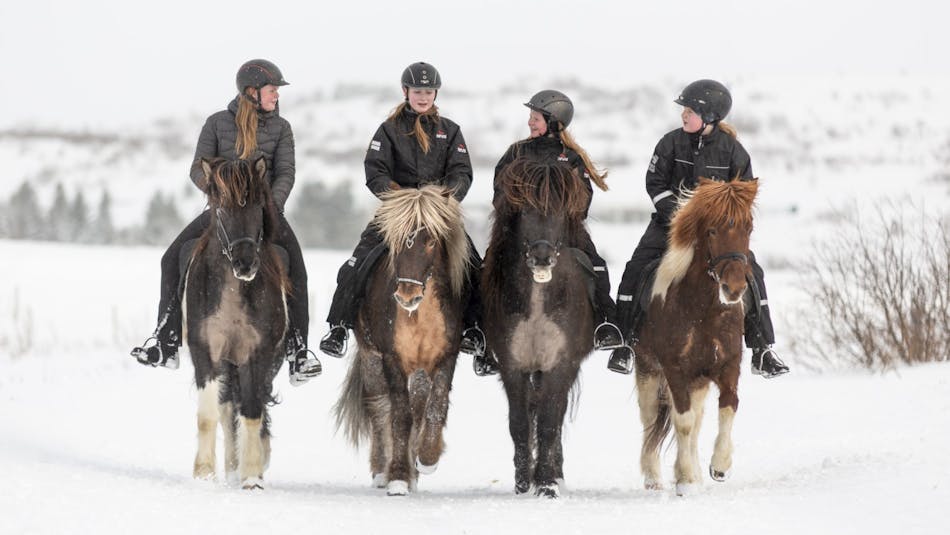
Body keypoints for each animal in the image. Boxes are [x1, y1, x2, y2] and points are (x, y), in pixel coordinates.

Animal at [185, 156, 290, 490]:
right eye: (220, 209)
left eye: (258, 207)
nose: (245, 264)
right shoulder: (204, 350)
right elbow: (208, 414)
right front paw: (204, 472)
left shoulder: (257, 353)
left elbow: (253, 410)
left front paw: (253, 475)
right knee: (227, 407)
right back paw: (230, 468)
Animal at [334, 185, 472, 498]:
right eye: (397, 241)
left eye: (431, 241)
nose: (407, 295)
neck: (418, 314)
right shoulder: (391, 359)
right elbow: (399, 416)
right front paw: (397, 477)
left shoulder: (446, 357)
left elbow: (435, 408)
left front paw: (427, 458)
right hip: (371, 359)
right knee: (379, 408)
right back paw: (381, 471)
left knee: (418, 406)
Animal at [484, 158, 596, 498]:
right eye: (523, 209)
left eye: (561, 210)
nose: (542, 256)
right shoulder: (513, 364)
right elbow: (520, 422)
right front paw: (523, 481)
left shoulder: (560, 364)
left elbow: (549, 422)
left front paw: (546, 483)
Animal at [636, 177, 764, 498]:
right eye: (713, 230)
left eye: (748, 228)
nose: (734, 288)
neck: (703, 309)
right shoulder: (674, 371)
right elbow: (681, 422)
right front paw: (684, 480)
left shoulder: (727, 367)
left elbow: (728, 408)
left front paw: (718, 466)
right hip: (648, 372)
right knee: (650, 421)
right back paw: (653, 478)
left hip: (699, 382)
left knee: (695, 424)